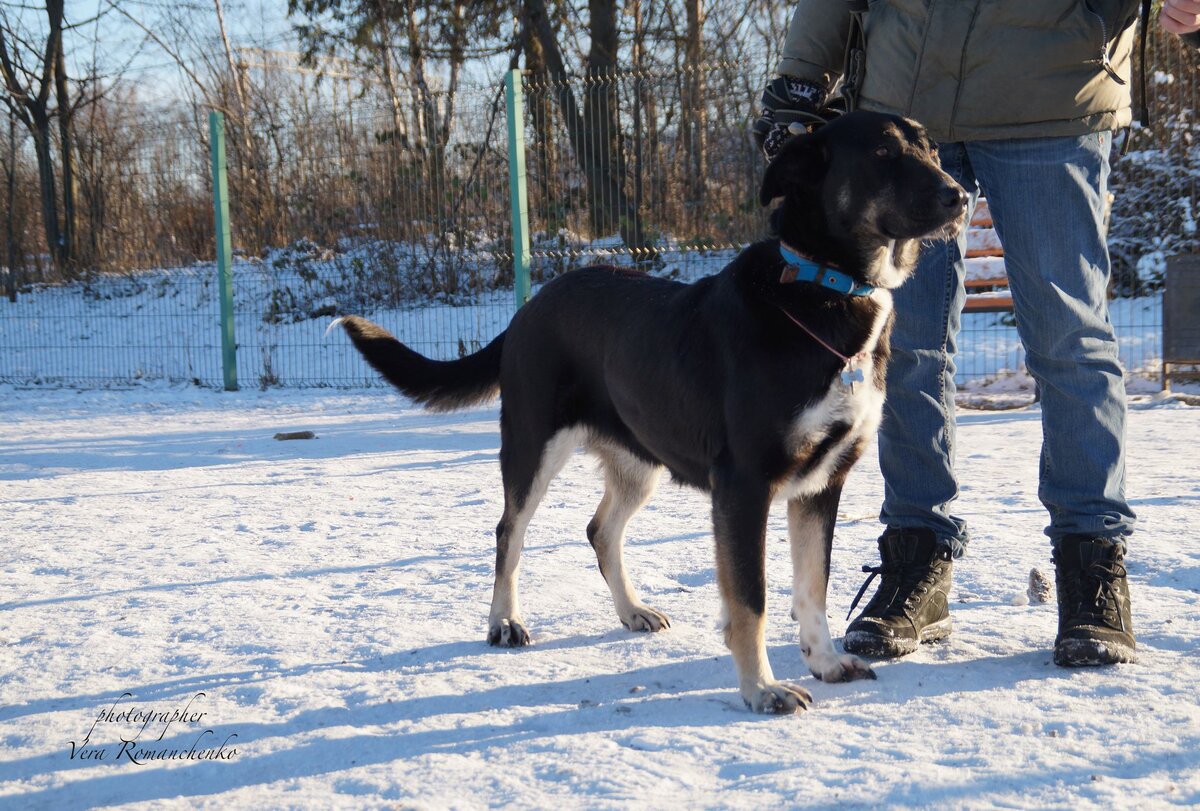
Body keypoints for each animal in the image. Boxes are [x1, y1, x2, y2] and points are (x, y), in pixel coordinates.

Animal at [336, 110, 964, 715]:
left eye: (931, 149)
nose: (959, 195)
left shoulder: (821, 486)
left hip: (639, 461)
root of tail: (530, 307)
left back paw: (631, 610)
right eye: (882, 152)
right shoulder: (744, 486)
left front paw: (826, 662)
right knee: (508, 532)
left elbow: (813, 586)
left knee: (599, 530)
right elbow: (751, 601)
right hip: (533, 447)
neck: (824, 288)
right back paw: (504, 621)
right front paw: (761, 690)